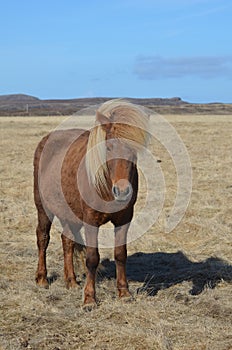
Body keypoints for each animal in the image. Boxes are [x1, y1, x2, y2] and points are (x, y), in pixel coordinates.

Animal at [34, 100, 150, 308]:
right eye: (109, 147)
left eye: (134, 149)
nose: (122, 191)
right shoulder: (90, 221)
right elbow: (92, 258)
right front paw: (89, 299)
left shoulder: (124, 220)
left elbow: (120, 254)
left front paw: (124, 293)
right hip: (43, 209)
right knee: (43, 238)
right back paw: (42, 279)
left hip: (69, 213)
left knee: (68, 241)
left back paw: (71, 281)